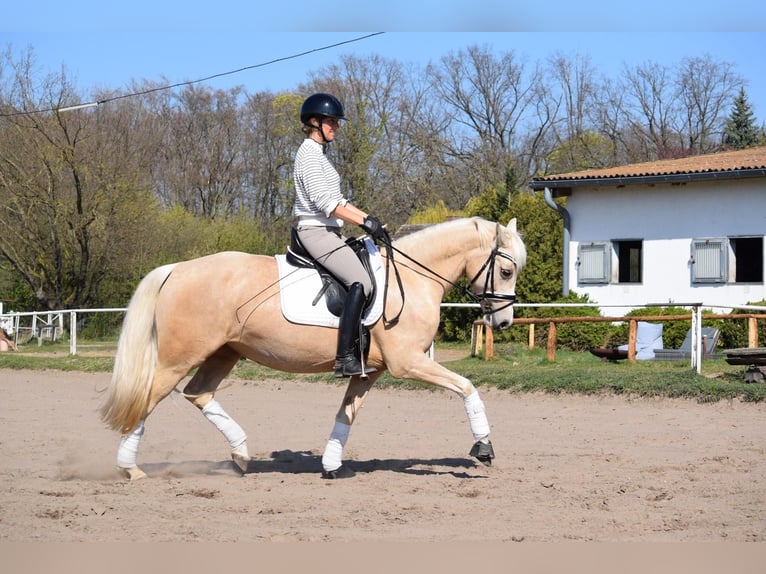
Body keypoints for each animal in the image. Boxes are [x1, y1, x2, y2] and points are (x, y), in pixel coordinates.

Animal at [100, 217, 526, 480]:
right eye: (506, 271)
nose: (503, 322)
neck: (411, 277)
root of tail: (176, 269)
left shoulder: (370, 370)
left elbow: (346, 415)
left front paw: (331, 464)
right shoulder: (408, 363)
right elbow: (467, 387)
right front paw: (483, 446)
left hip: (225, 352)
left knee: (198, 393)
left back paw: (241, 455)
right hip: (178, 358)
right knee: (148, 401)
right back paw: (129, 469)